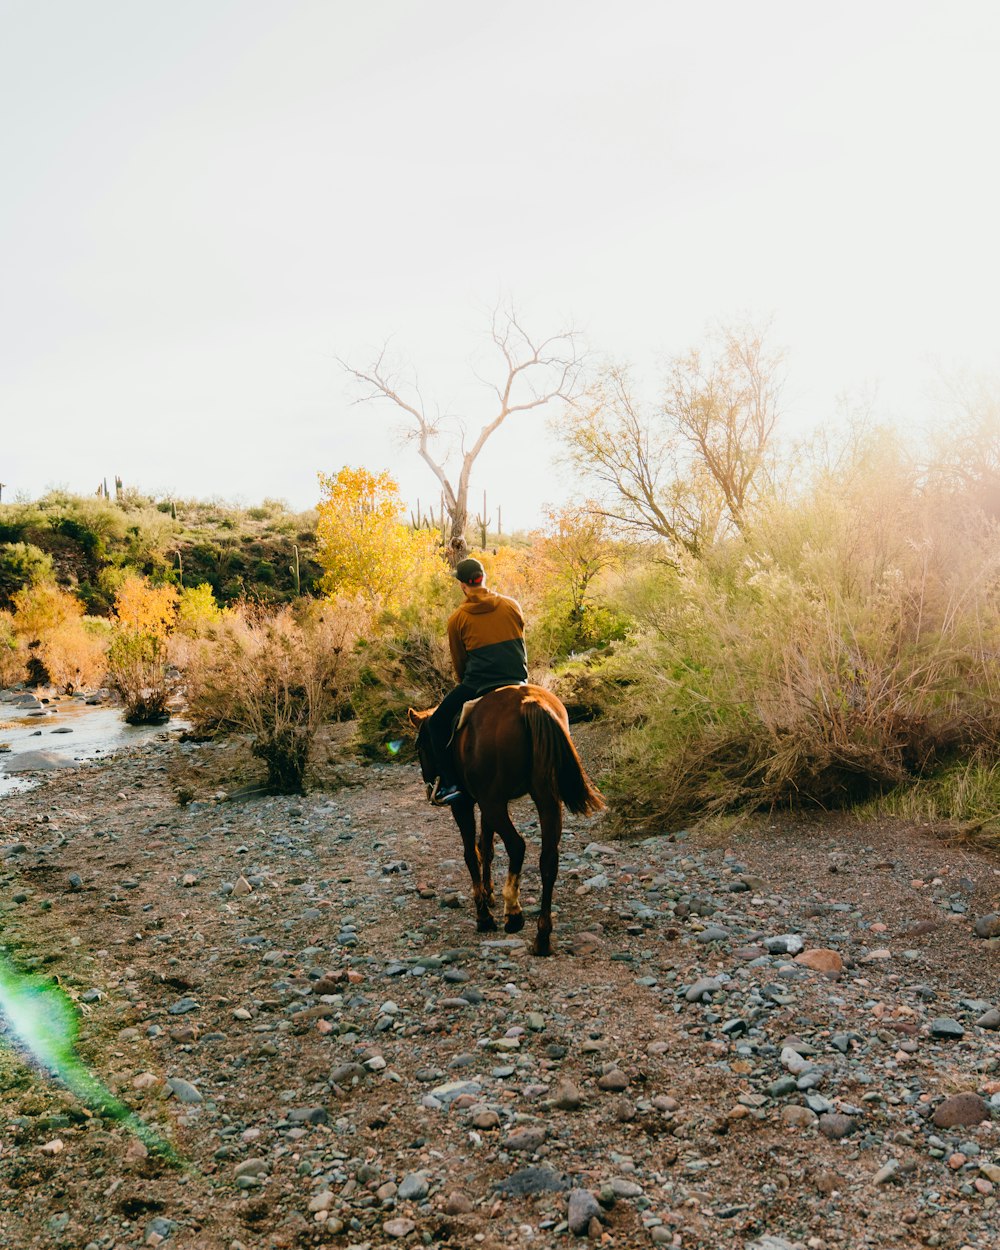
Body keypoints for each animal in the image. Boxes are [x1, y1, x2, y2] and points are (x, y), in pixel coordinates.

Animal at [405, 685, 602, 955]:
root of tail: (529, 702)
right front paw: (489, 895)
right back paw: (542, 938)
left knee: (517, 845)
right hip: (545, 798)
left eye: (419, 746)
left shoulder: (465, 804)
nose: (429, 787)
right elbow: (486, 847)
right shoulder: (486, 804)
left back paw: (514, 914)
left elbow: (471, 853)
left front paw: (484, 915)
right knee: (548, 859)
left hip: (495, 803)